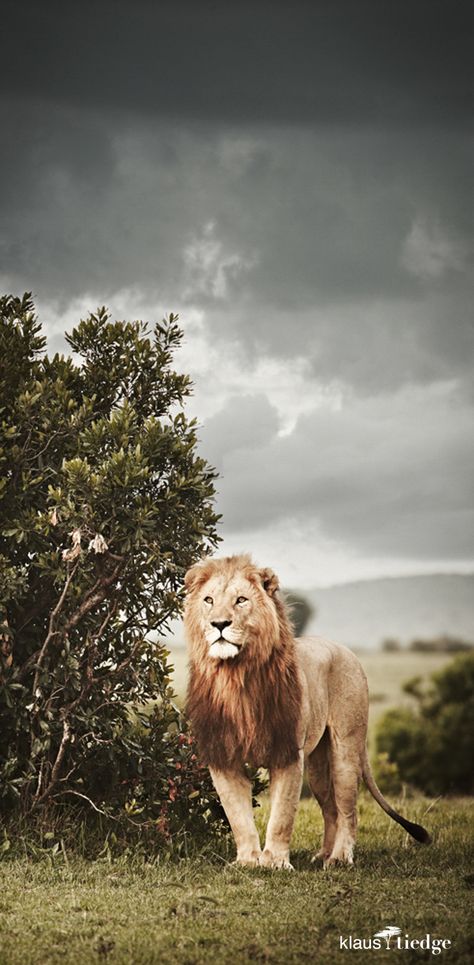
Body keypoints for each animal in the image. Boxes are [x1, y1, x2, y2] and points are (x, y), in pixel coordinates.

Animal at [184, 552, 430, 868]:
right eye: (209, 600)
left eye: (241, 600)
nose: (219, 624)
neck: (235, 676)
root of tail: (344, 649)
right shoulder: (223, 756)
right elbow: (238, 816)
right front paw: (248, 861)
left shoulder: (288, 752)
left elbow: (282, 815)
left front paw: (275, 862)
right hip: (317, 766)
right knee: (330, 809)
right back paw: (323, 854)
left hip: (345, 748)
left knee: (348, 810)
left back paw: (339, 858)